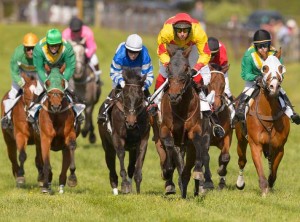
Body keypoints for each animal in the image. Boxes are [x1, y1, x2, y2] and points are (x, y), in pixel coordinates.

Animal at [159, 46, 211, 198]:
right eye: (169, 68)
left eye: (187, 67)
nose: (174, 95)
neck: (181, 107)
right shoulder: (165, 129)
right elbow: (169, 146)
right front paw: (167, 171)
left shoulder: (195, 130)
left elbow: (198, 145)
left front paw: (198, 173)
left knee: (189, 166)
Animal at [236, 51, 290, 196]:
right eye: (264, 68)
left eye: (281, 68)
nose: (274, 87)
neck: (268, 114)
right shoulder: (255, 144)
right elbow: (259, 169)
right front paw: (264, 190)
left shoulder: (280, 147)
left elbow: (273, 172)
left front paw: (270, 186)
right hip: (241, 139)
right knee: (242, 160)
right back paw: (240, 183)